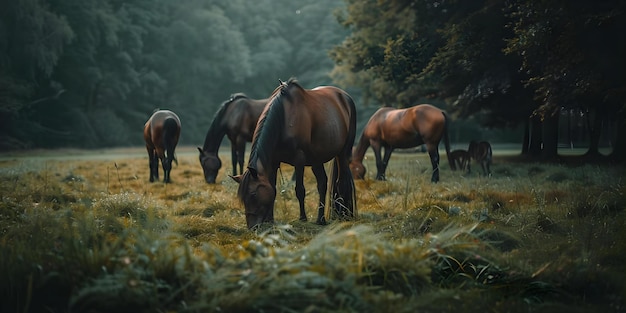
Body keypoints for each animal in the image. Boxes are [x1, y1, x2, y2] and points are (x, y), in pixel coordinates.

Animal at [229, 78, 356, 228]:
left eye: (253, 194)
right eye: (243, 198)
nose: (252, 227)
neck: (283, 119)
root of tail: (345, 97)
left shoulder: (299, 160)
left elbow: (299, 190)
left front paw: (302, 218)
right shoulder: (274, 161)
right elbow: (273, 189)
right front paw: (270, 219)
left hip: (342, 154)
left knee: (341, 182)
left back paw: (342, 215)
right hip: (316, 160)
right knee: (322, 184)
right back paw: (321, 219)